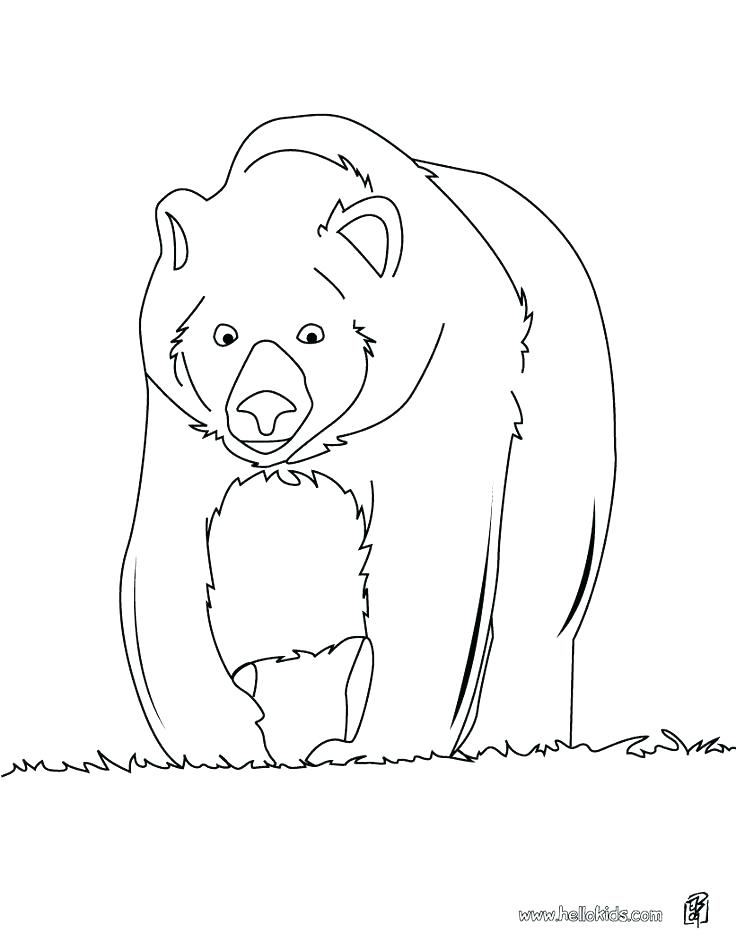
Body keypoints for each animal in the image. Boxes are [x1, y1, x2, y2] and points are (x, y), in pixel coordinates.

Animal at [120, 113, 615, 767]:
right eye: (223, 334)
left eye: (313, 333)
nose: (264, 410)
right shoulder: (184, 418)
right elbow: (169, 555)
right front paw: (226, 737)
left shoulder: (433, 392)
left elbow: (434, 560)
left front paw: (371, 746)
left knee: (540, 595)